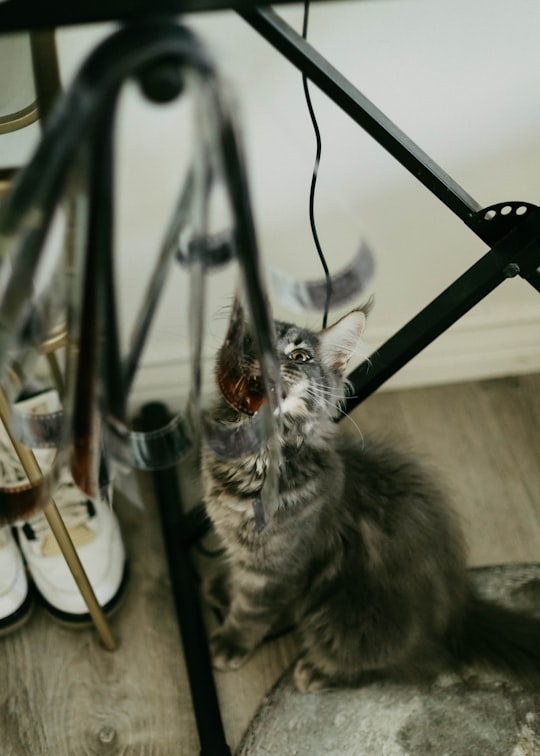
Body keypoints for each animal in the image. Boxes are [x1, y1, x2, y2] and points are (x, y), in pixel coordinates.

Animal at [200, 306, 540, 692]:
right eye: (251, 341)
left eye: (300, 357)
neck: (253, 462)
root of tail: (457, 612)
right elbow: (239, 583)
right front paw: (225, 588)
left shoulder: (278, 567)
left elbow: (251, 612)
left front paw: (231, 642)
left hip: (346, 617)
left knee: (409, 664)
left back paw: (317, 670)